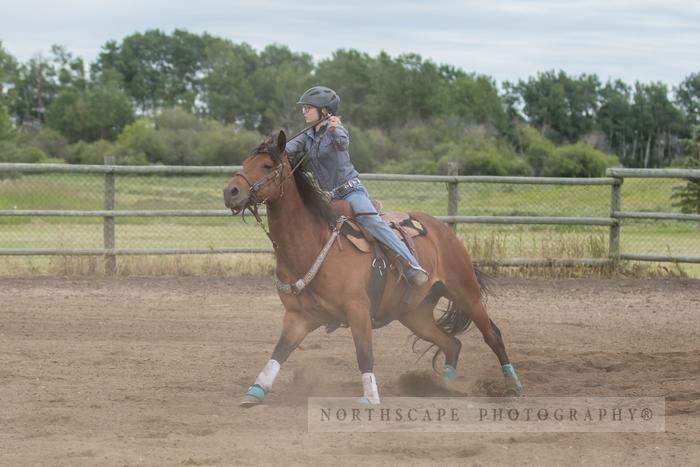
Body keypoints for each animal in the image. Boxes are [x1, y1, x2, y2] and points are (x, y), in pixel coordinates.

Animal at [221, 131, 524, 406]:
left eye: (266, 165)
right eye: (246, 161)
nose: (230, 192)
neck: (312, 243)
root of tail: (443, 230)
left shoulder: (358, 310)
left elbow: (364, 353)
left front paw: (370, 397)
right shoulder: (297, 317)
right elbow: (279, 352)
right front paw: (255, 391)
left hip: (465, 292)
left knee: (492, 335)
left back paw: (513, 387)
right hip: (415, 313)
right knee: (452, 344)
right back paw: (442, 388)